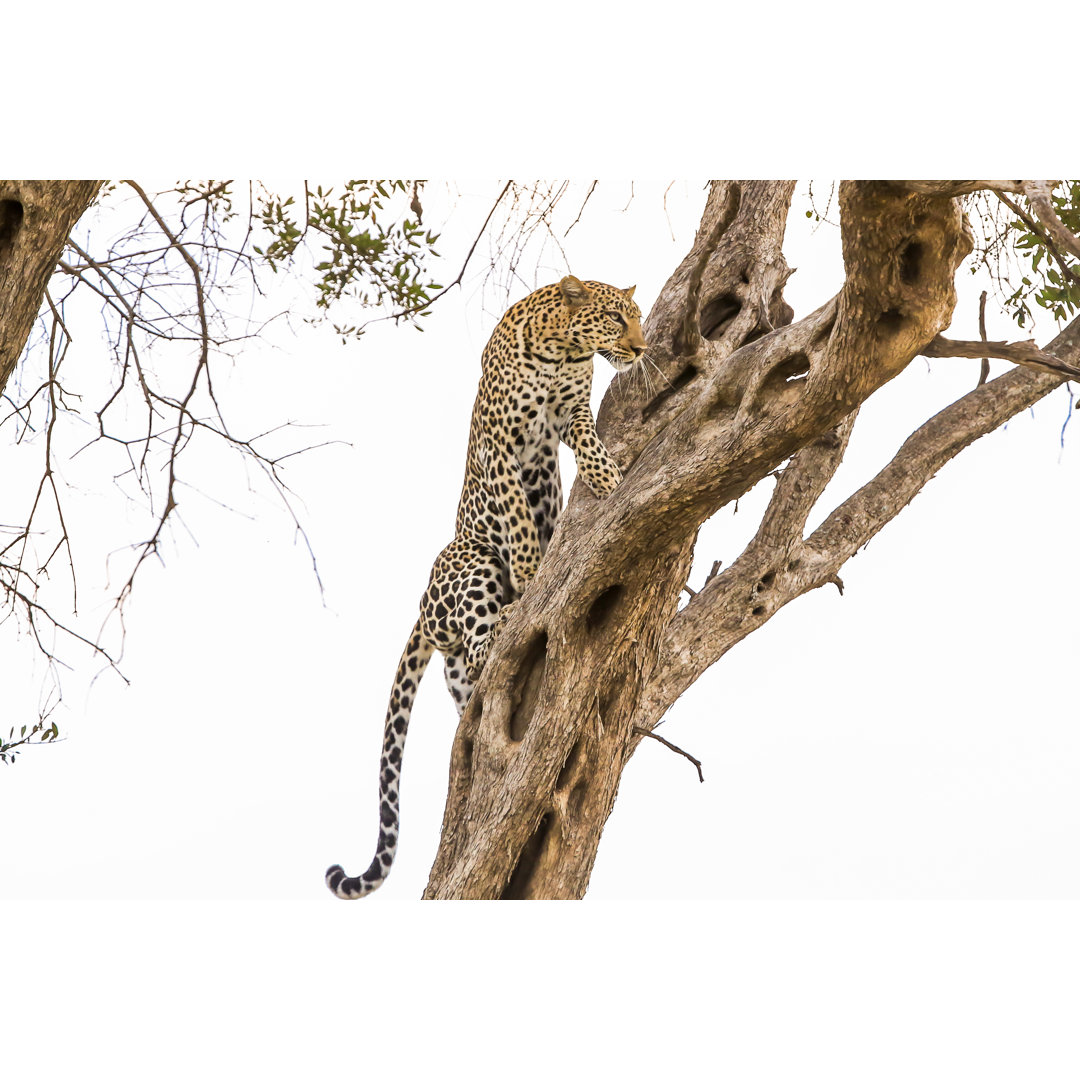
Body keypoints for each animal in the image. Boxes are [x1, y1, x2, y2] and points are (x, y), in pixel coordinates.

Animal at [324, 274, 643, 898]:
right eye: (617, 318)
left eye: (636, 316)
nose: (642, 349)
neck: (562, 349)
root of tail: (424, 610)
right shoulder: (499, 441)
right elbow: (517, 513)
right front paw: (531, 565)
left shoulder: (571, 412)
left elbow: (588, 440)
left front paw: (606, 477)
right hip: (469, 562)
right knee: (482, 638)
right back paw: (513, 611)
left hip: (456, 672)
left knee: (474, 678)